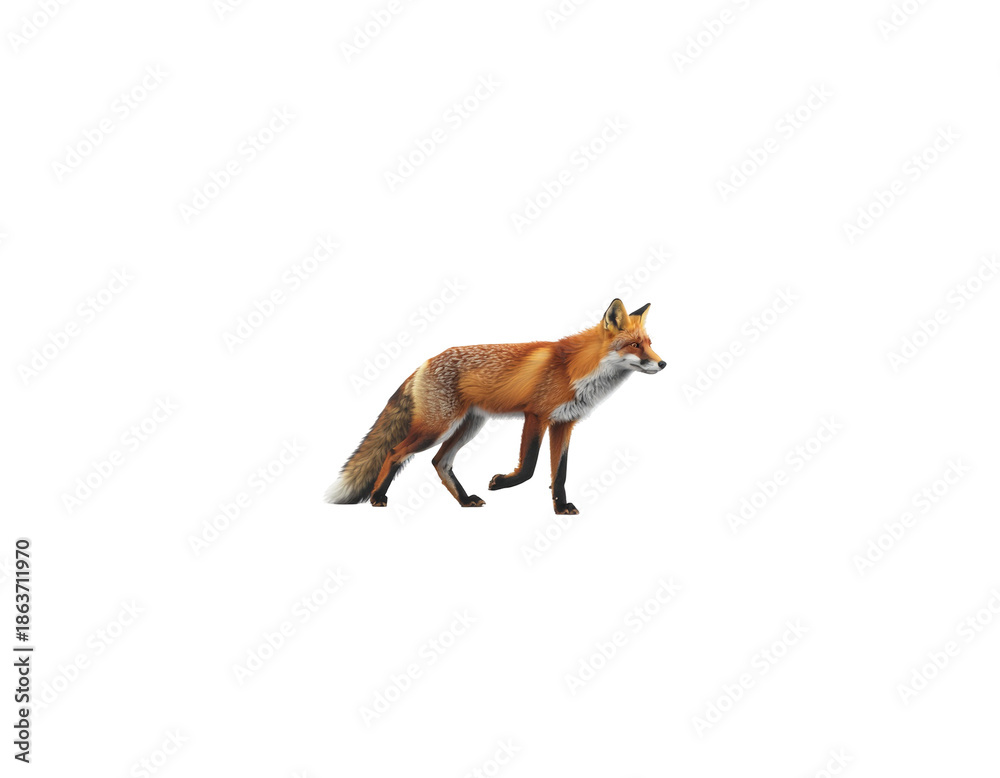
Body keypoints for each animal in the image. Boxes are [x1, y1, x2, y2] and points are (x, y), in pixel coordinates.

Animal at [325, 298, 665, 514]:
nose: (663, 364)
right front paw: (501, 483)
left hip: (468, 427)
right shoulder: (536, 415)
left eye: (649, 344)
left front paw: (561, 507)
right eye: (635, 345)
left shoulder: (564, 423)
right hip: (437, 428)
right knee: (395, 453)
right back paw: (377, 497)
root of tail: (425, 363)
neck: (576, 370)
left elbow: (560, 473)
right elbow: (528, 467)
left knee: (439, 462)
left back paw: (464, 501)